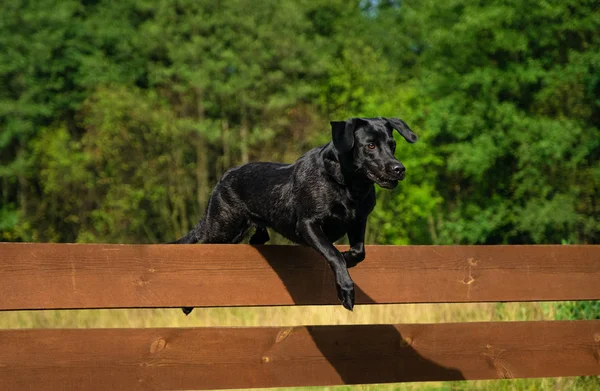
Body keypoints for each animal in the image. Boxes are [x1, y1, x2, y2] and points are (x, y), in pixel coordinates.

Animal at [173, 118, 418, 314]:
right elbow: (333, 254)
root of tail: (223, 177)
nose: (399, 168)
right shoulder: (308, 224)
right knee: (196, 244)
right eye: (370, 145)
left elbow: (359, 252)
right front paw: (346, 290)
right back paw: (186, 303)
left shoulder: (358, 221)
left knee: (258, 238)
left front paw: (349, 257)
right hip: (222, 227)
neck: (347, 186)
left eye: (393, 145)